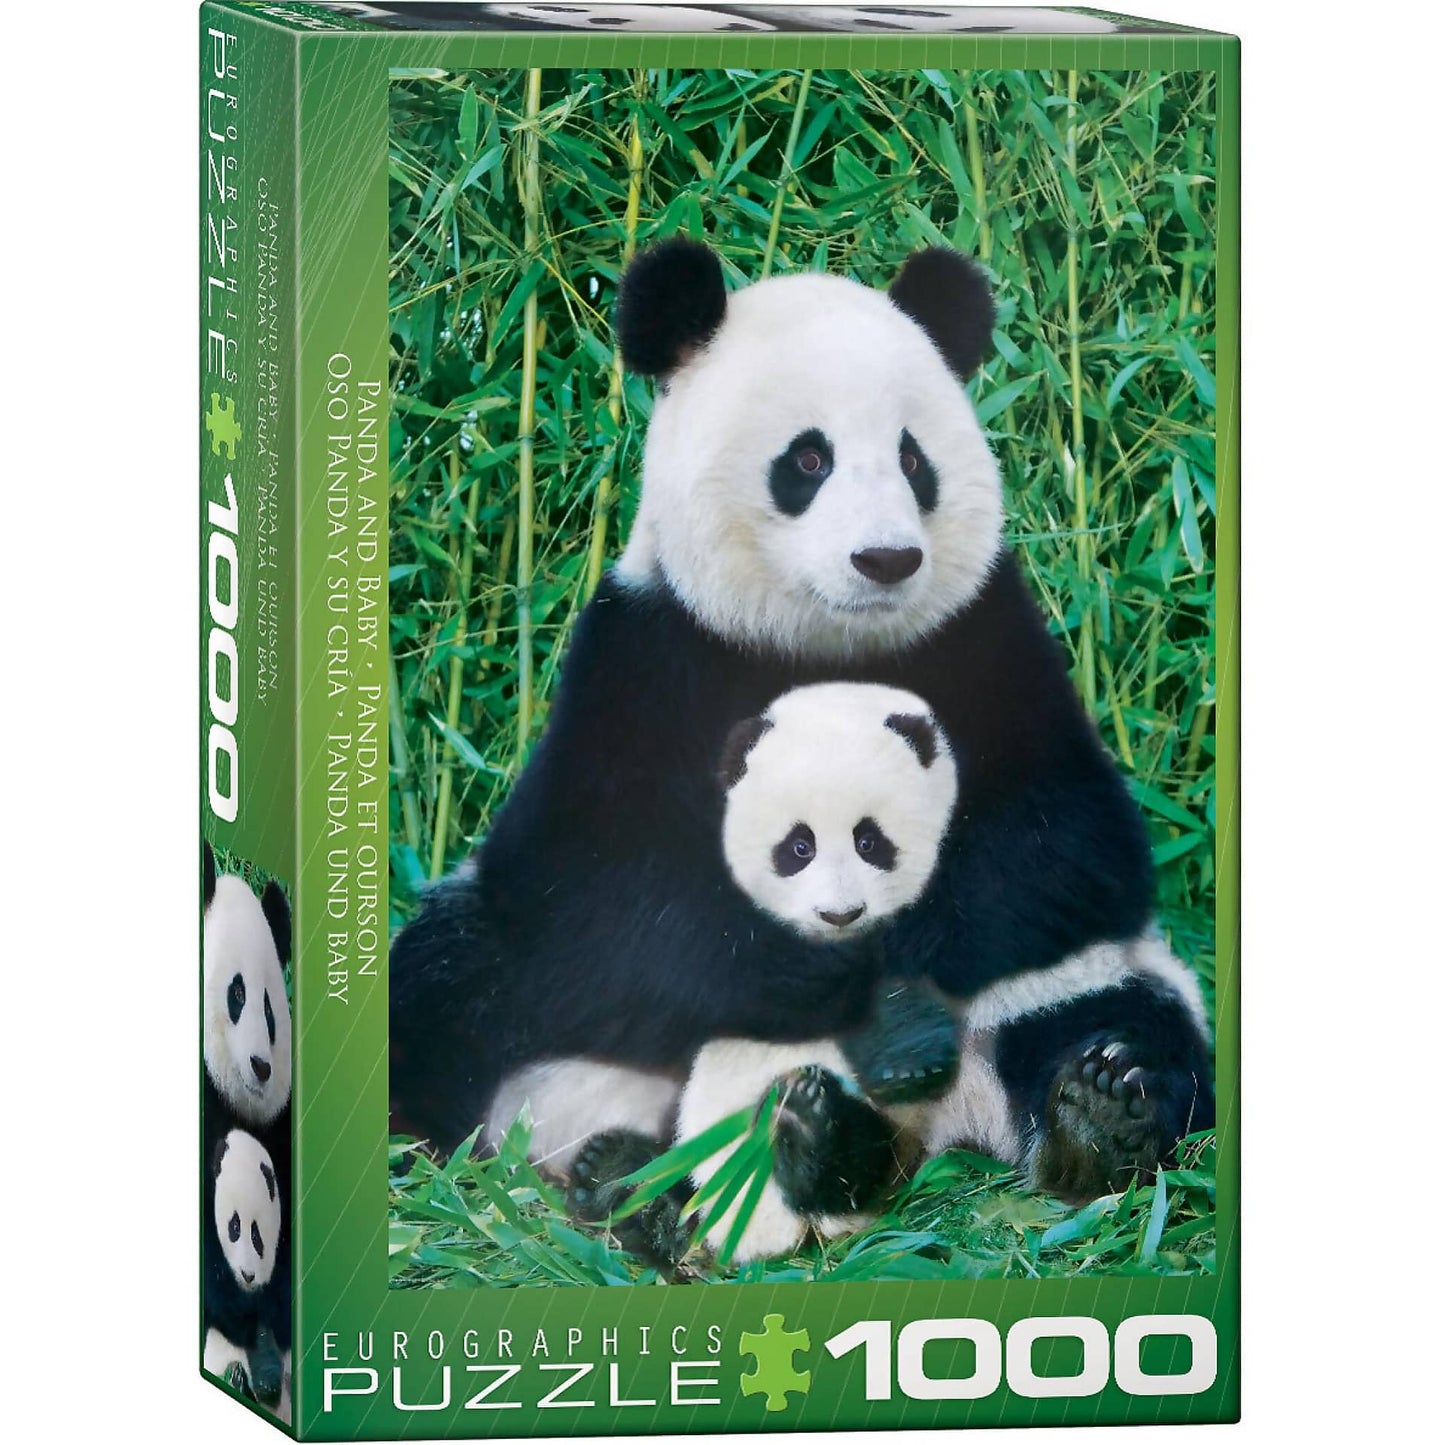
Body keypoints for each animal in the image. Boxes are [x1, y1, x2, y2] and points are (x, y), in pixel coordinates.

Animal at [388, 239, 1213, 1229]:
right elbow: (596, 891)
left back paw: (1091, 1113)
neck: (823, 641)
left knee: (1127, 1016)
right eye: (809, 458)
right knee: (446, 986)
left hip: (1080, 980)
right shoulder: (644, 658)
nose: (886, 558)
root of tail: (937, 1127)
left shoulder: (988, 641)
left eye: (912, 458)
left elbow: (1068, 844)